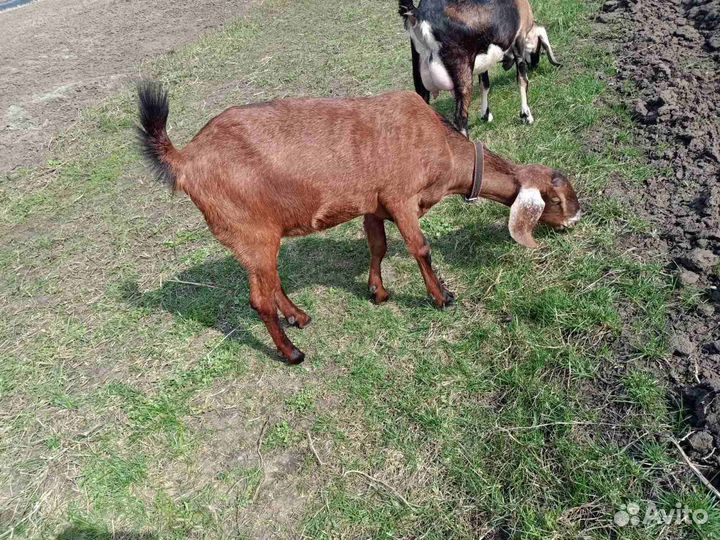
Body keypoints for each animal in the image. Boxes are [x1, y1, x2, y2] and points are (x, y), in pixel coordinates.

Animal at [137, 83, 580, 364]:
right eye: (556, 198)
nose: (577, 215)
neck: (441, 146)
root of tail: (185, 159)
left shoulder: (374, 205)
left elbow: (377, 246)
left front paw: (377, 292)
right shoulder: (401, 198)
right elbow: (420, 248)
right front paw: (442, 297)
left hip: (256, 239)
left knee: (272, 282)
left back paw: (299, 317)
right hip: (251, 233)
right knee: (259, 299)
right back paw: (292, 352)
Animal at [399, 0, 561, 134]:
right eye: (540, 48)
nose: (535, 65)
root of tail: (419, 14)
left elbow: (485, 84)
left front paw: (485, 115)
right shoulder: (519, 42)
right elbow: (522, 80)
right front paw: (526, 115)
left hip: (420, 78)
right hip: (462, 73)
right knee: (461, 118)